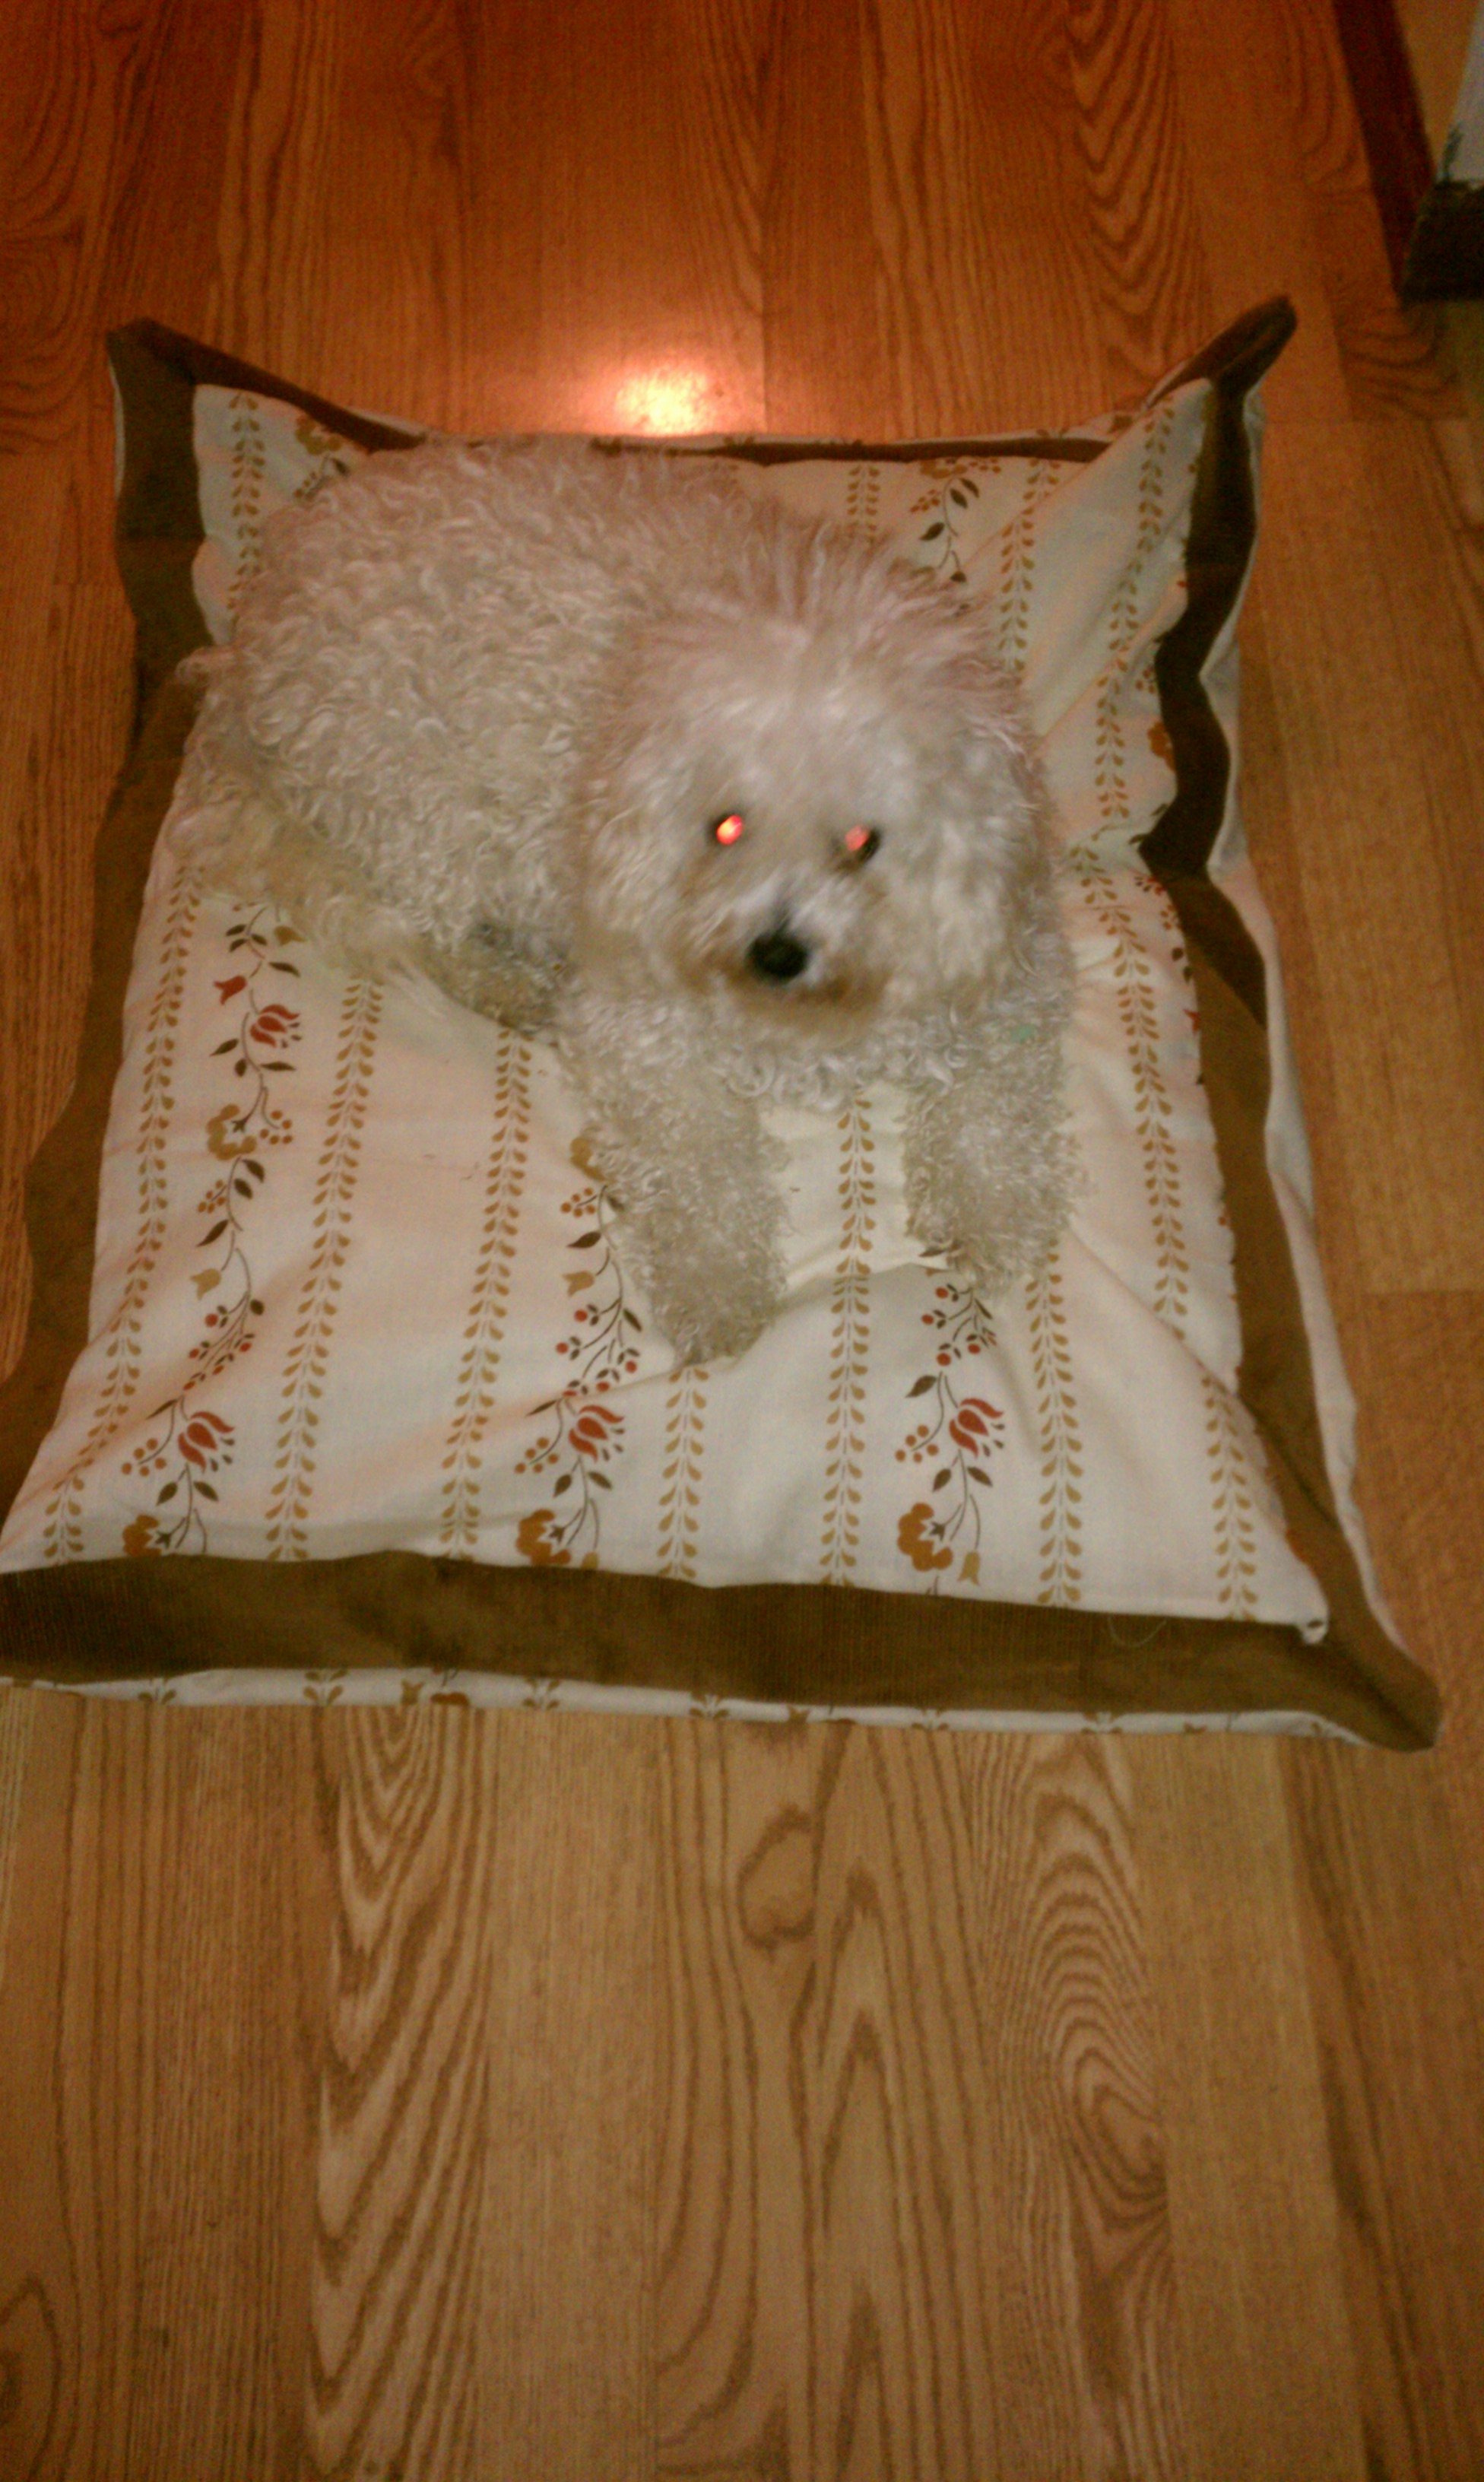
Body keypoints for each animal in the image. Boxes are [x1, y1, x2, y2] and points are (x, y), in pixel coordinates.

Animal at [173, 435, 1074, 1365]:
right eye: (726, 827)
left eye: (860, 843)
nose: (776, 952)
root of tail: (245, 645)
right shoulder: (638, 1034)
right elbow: (698, 1165)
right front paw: (716, 1287)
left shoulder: (1010, 979)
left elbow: (992, 1115)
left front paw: (988, 1216)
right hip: (424, 813)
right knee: (435, 938)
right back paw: (511, 984)